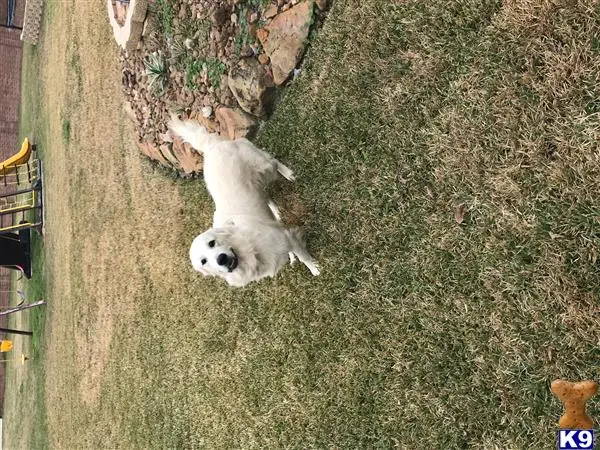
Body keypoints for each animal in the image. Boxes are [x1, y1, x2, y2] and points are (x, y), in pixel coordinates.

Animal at [166, 118, 322, 286]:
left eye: (212, 243)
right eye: (203, 261)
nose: (221, 259)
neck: (250, 252)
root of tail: (210, 146)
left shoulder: (286, 238)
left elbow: (304, 257)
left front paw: (314, 268)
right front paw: (295, 258)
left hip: (264, 168)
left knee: (273, 162)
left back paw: (288, 173)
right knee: (265, 195)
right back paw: (275, 210)